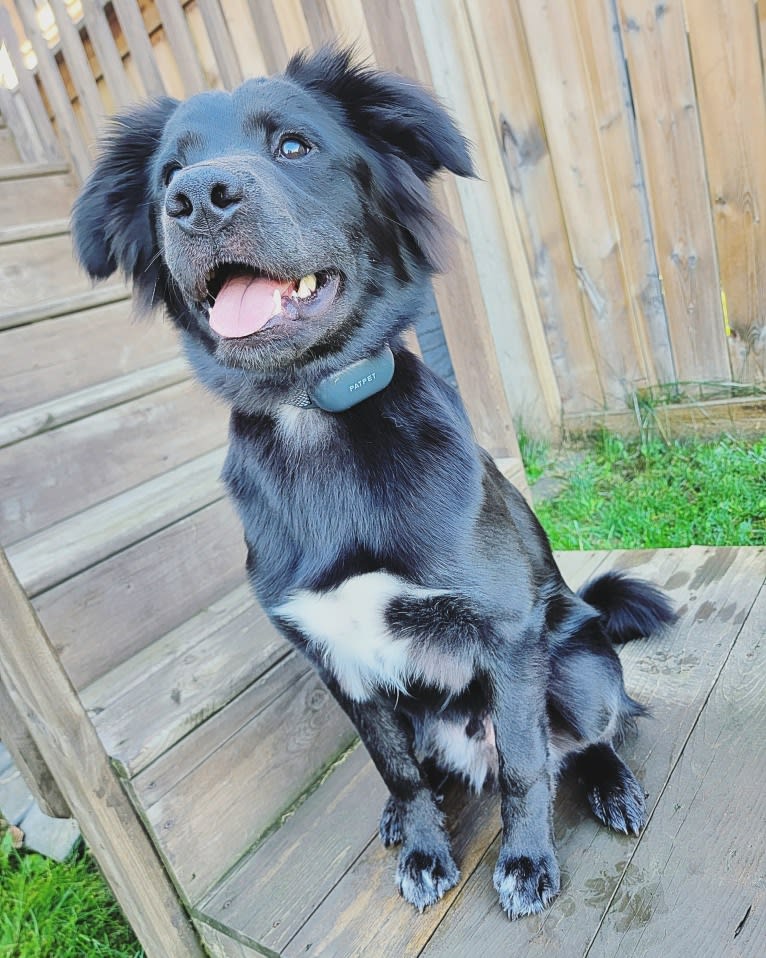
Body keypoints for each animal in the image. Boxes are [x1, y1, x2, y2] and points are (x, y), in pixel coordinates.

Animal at [70, 47, 672, 924]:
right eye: (168, 177)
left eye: (293, 146)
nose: (196, 200)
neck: (313, 419)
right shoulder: (338, 658)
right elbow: (399, 769)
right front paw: (422, 847)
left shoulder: (507, 633)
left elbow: (527, 767)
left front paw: (526, 861)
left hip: (579, 666)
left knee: (598, 731)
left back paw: (612, 784)